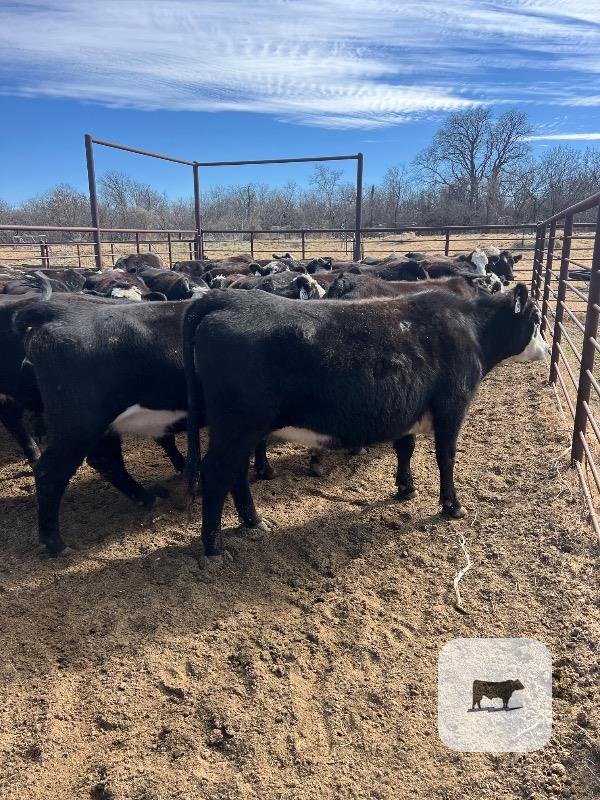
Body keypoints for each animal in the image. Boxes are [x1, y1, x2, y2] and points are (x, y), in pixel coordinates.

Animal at [182, 284, 547, 560]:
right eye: (536, 317)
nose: (545, 349)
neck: (469, 329)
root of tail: (228, 297)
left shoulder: (407, 409)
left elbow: (405, 447)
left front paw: (405, 487)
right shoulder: (452, 407)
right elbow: (446, 457)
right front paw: (452, 506)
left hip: (242, 429)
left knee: (236, 473)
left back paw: (253, 521)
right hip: (238, 425)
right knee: (216, 472)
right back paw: (214, 547)